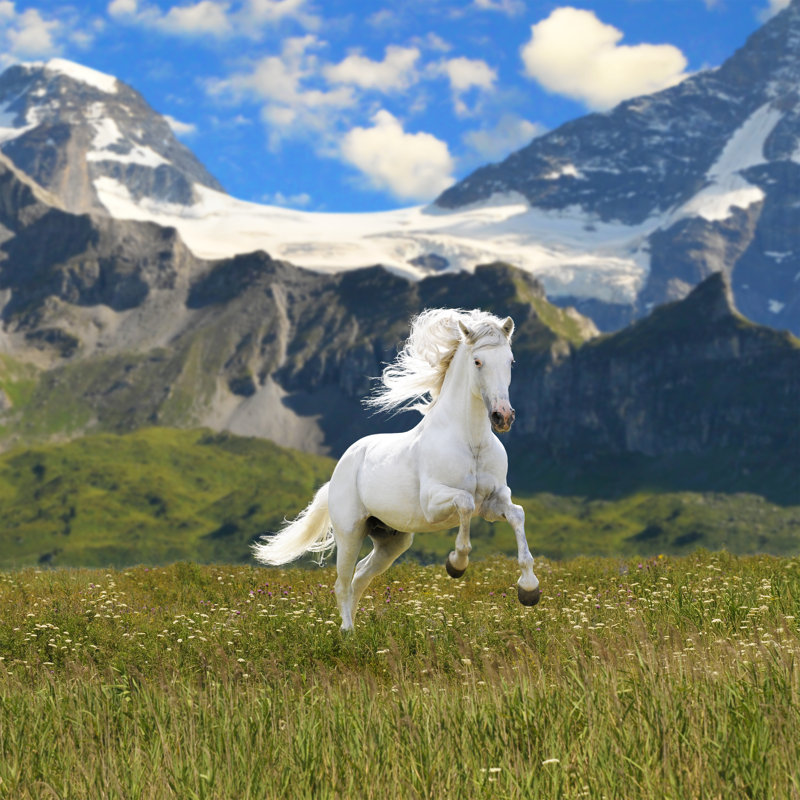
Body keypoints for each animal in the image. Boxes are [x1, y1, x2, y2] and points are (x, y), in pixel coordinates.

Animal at [252, 308, 540, 631]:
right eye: (478, 361)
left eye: (510, 360)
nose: (503, 416)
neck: (471, 442)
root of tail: (339, 469)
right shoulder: (434, 502)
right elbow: (465, 503)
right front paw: (456, 564)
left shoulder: (493, 502)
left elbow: (517, 514)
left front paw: (529, 590)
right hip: (350, 532)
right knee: (342, 583)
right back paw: (347, 633)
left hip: (392, 540)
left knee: (360, 576)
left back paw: (356, 630)